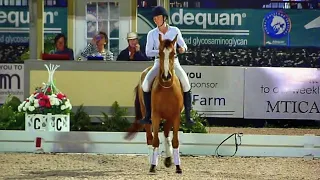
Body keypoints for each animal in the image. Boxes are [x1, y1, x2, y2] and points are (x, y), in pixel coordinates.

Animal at [125, 33, 185, 174]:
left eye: (173, 53)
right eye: (160, 53)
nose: (166, 76)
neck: (167, 88)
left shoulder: (175, 116)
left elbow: (174, 141)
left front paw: (178, 166)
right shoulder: (155, 115)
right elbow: (155, 141)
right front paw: (153, 166)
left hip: (168, 118)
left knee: (166, 134)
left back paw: (168, 159)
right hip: (146, 116)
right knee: (149, 138)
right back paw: (152, 161)